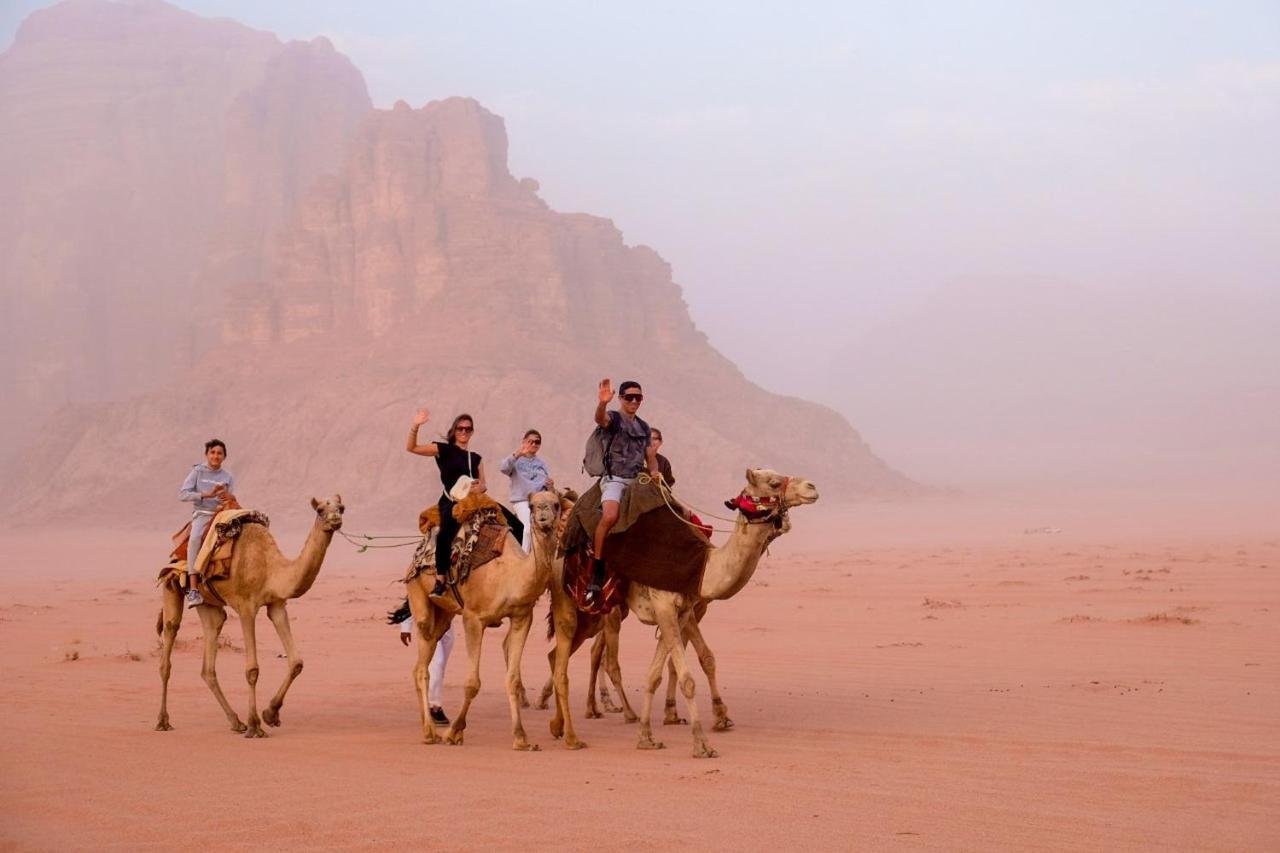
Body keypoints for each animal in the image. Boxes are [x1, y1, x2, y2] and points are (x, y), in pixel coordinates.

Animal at [153, 494, 345, 732]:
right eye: (320, 510)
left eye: (341, 508)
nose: (336, 520)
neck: (270, 567)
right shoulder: (246, 607)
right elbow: (252, 669)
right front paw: (255, 726)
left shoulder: (277, 604)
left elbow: (296, 662)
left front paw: (270, 714)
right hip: (171, 586)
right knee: (169, 640)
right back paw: (163, 721)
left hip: (209, 604)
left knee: (210, 650)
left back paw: (236, 721)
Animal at [404, 489, 565, 747]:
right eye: (532, 505)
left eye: (556, 504)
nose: (543, 516)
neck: (510, 575)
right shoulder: (473, 618)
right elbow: (472, 683)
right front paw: (454, 732)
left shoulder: (522, 617)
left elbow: (512, 679)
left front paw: (521, 738)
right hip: (418, 592)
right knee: (422, 659)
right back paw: (430, 732)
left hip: (445, 614)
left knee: (423, 658)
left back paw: (427, 727)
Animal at [545, 468, 814, 753]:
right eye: (773, 483)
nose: (811, 487)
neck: (703, 566)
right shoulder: (666, 607)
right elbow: (687, 677)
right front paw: (702, 742)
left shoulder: (682, 612)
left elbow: (658, 673)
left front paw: (647, 737)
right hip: (574, 602)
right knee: (576, 662)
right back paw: (575, 734)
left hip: (593, 616)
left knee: (557, 656)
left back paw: (558, 725)